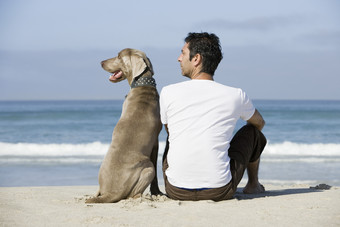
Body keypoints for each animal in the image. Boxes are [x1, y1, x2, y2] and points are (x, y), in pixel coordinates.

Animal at [86, 48, 163, 204]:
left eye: (118, 57)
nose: (101, 62)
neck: (142, 84)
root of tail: (111, 193)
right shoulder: (155, 142)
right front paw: (157, 192)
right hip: (148, 168)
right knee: (132, 195)